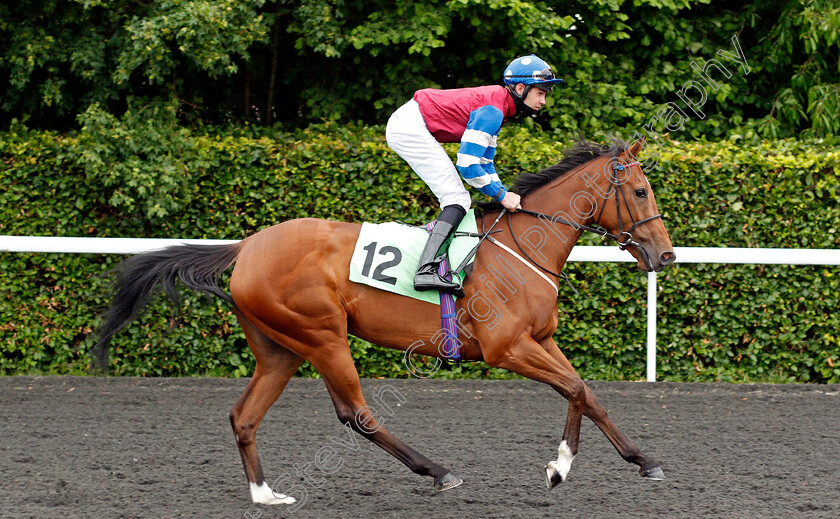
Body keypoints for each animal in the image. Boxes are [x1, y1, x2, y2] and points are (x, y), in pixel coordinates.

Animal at [93, 139, 676, 508]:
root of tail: (247, 246)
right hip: (322, 335)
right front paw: (559, 467)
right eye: (641, 193)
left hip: (281, 348)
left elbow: (587, 392)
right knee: (356, 414)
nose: (666, 256)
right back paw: (438, 472)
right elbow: (574, 390)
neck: (521, 248)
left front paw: (643, 460)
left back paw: (265, 494)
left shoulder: (541, 339)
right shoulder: (506, 347)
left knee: (245, 417)